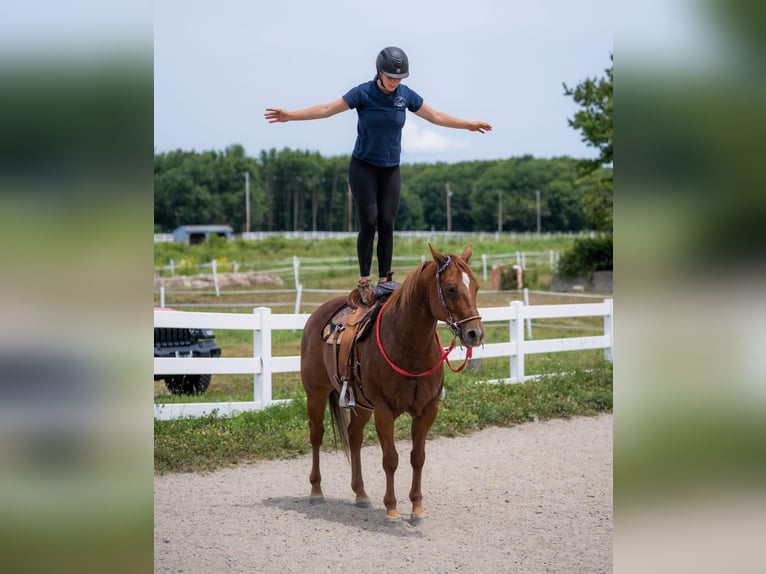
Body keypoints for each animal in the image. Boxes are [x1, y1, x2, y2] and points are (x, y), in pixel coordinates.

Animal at [300, 245, 486, 524]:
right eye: (451, 288)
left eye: (475, 286)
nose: (475, 333)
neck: (409, 345)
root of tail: (317, 315)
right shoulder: (384, 410)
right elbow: (390, 459)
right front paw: (391, 509)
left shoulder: (427, 410)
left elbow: (417, 458)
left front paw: (417, 508)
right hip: (316, 394)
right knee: (316, 435)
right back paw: (316, 491)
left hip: (361, 405)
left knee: (354, 437)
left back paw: (361, 494)